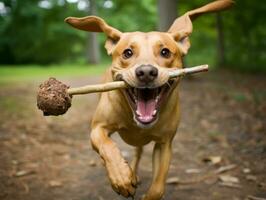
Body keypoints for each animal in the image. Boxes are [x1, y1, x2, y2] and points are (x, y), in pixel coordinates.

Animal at [65, 0, 233, 199]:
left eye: (165, 52)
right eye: (128, 52)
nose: (146, 72)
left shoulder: (164, 144)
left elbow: (158, 187)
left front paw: (143, 189)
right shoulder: (98, 129)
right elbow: (108, 147)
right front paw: (121, 177)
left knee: (138, 153)